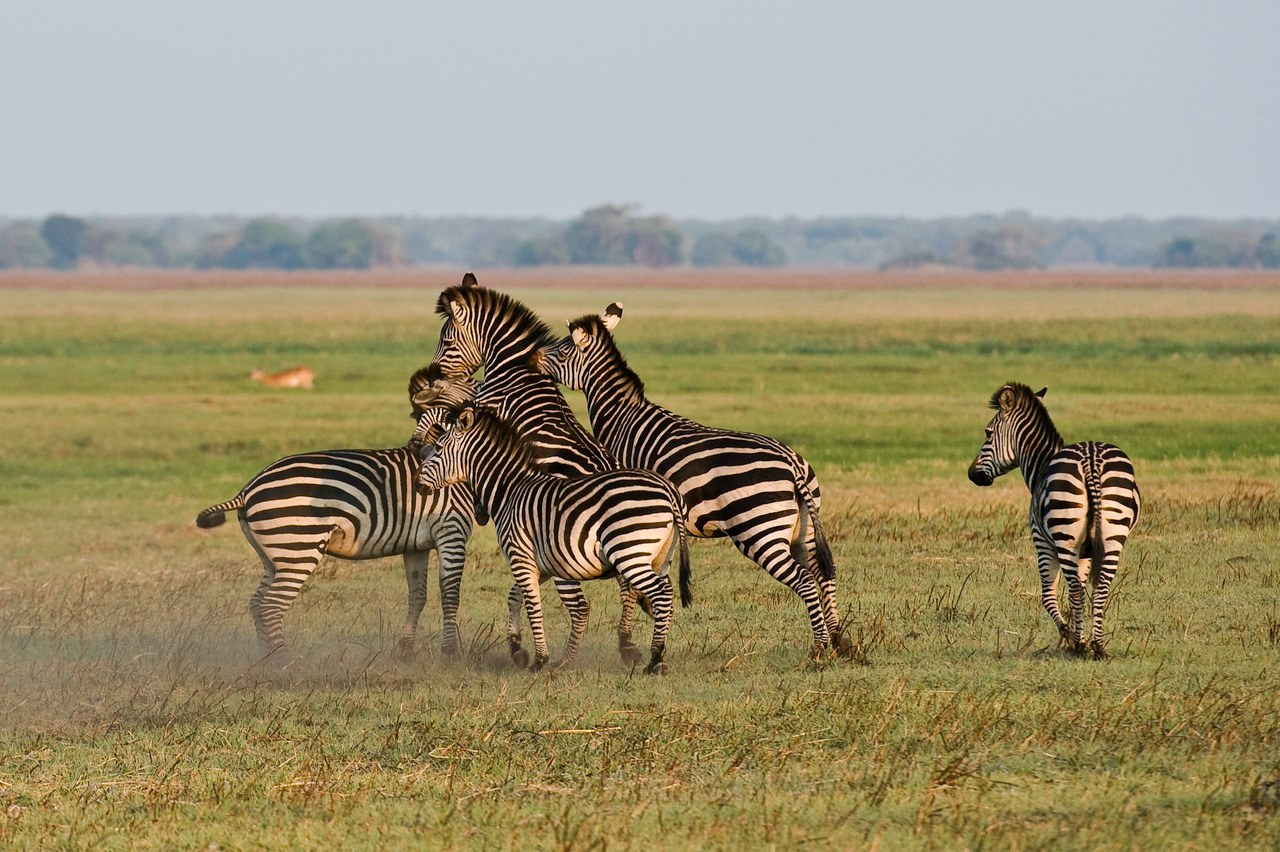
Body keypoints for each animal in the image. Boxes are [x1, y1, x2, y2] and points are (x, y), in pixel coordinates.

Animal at [195, 367, 478, 659]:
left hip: (274, 556)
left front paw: (405, 653)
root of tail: (247, 489)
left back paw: (266, 658)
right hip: (298, 548)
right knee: (270, 606)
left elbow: (417, 596)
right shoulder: (451, 531)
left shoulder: (416, 545)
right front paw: (450, 653)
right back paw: (284, 661)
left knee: (256, 602)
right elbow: (450, 595)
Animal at [416, 404, 691, 673]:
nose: (418, 484)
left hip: (628, 553)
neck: (510, 491)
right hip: (660, 557)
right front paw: (517, 650)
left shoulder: (520, 556)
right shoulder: (542, 564)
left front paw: (540, 659)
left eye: (438, 449)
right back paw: (658, 656)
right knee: (665, 594)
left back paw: (654, 660)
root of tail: (668, 489)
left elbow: (533, 605)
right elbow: (514, 596)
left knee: (661, 594)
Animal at [426, 273, 659, 667]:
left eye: (447, 341)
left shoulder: (485, 405)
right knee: (625, 583)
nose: (433, 373)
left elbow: (464, 413)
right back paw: (625, 643)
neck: (511, 367)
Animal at [532, 305, 850, 662]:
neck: (622, 419)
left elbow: (632, 581)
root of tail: (792, 463)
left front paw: (628, 638)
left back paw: (819, 647)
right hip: (804, 529)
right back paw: (840, 640)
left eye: (563, 350)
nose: (532, 357)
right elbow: (657, 569)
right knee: (824, 575)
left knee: (805, 579)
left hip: (760, 530)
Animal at [967, 383, 1141, 659]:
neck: (1040, 466)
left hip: (1064, 537)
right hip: (1113, 534)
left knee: (1076, 590)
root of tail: (1091, 460)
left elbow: (1048, 596)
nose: (971, 474)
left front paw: (1069, 635)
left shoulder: (1041, 541)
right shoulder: (1086, 551)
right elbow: (1077, 588)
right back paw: (1098, 646)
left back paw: (1080, 646)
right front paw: (1077, 631)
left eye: (988, 433)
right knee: (1100, 586)